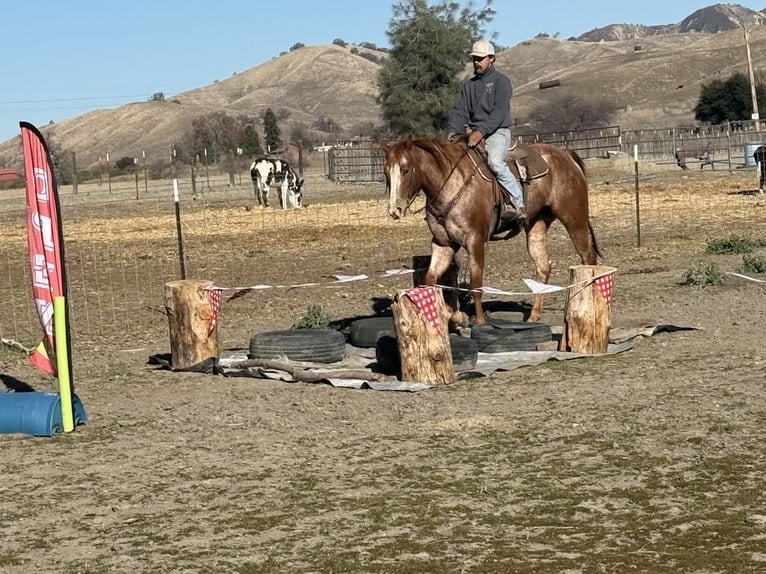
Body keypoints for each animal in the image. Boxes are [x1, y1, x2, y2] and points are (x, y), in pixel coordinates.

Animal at [381, 136, 601, 324]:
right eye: (386, 173)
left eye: (405, 170)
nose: (395, 210)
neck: (451, 183)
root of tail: (565, 154)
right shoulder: (443, 244)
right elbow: (431, 282)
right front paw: (453, 316)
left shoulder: (476, 241)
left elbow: (476, 286)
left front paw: (479, 322)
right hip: (537, 225)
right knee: (543, 267)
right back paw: (533, 316)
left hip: (574, 220)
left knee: (587, 257)